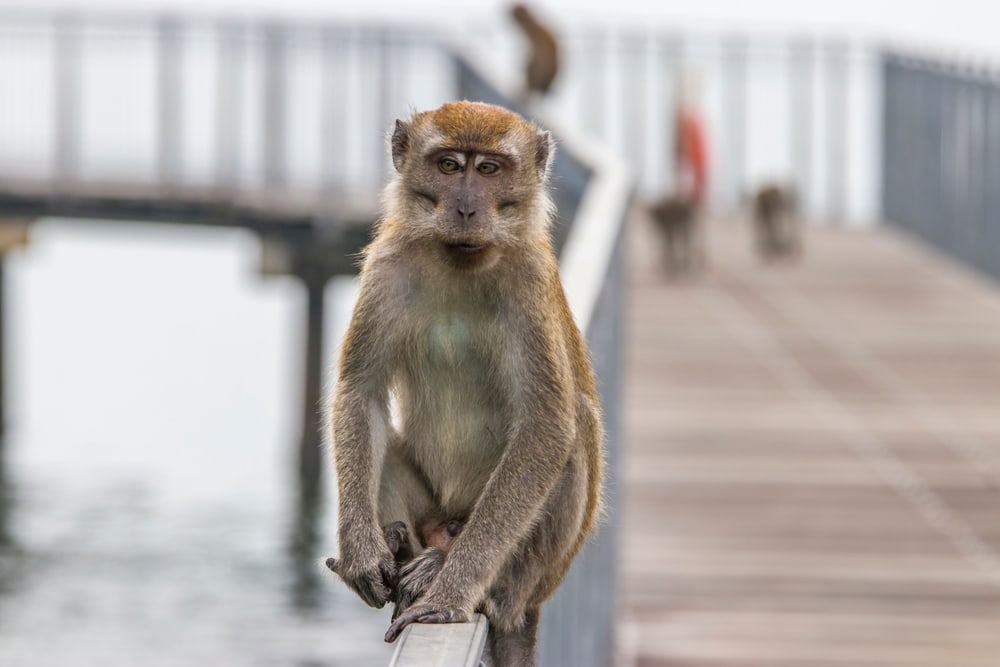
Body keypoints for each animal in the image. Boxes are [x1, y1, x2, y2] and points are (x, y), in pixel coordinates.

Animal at [324, 101, 604, 666]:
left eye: (490, 169)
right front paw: (361, 551)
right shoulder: (387, 266)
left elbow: (546, 427)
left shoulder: (529, 283)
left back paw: (481, 584)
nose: (467, 209)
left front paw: (453, 593)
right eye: (450, 166)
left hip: (541, 570)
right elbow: (361, 394)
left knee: (575, 430)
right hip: (432, 513)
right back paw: (404, 547)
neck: (461, 258)